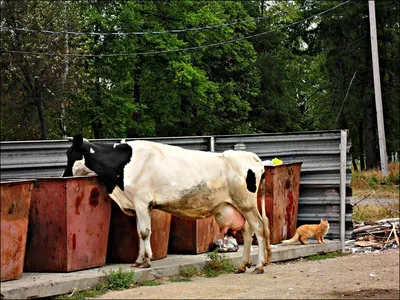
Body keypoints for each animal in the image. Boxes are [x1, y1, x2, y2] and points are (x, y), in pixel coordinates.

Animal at [62, 134, 272, 274]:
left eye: (69, 153)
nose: (63, 176)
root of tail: (251, 157)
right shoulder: (138, 205)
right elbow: (139, 232)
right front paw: (139, 260)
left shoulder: (141, 201)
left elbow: (144, 232)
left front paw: (146, 261)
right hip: (238, 206)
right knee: (247, 231)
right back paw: (243, 265)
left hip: (246, 204)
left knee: (260, 228)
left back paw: (259, 265)